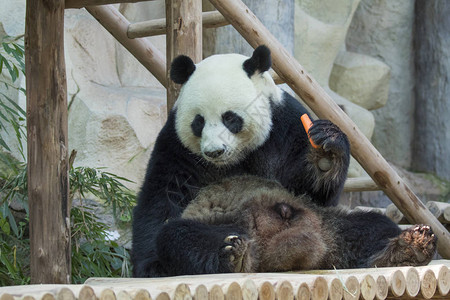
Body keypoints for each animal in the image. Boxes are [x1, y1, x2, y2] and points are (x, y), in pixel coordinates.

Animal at [132, 45, 350, 278]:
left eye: (229, 117)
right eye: (198, 121)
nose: (215, 152)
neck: (235, 158)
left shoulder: (286, 127)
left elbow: (311, 195)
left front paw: (326, 153)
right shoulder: (176, 145)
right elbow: (164, 195)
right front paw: (152, 266)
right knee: (177, 234)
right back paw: (231, 257)